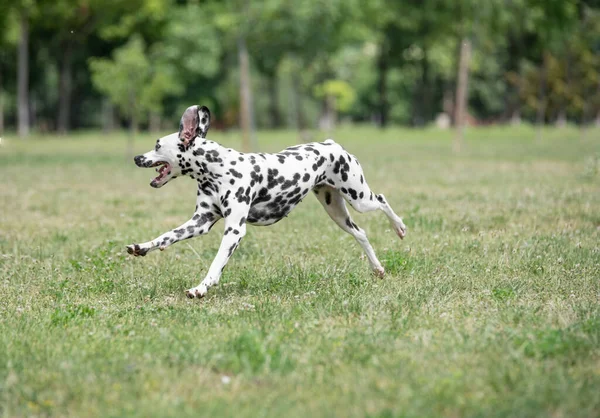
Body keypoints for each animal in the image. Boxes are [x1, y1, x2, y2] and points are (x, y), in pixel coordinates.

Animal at [126, 106, 408, 298]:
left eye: (157, 145)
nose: (137, 158)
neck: (216, 169)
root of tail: (331, 143)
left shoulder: (234, 230)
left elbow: (216, 265)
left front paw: (201, 288)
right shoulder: (200, 222)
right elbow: (166, 236)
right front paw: (142, 247)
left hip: (359, 197)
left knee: (382, 200)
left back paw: (400, 228)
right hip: (337, 212)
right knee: (361, 234)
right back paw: (378, 268)